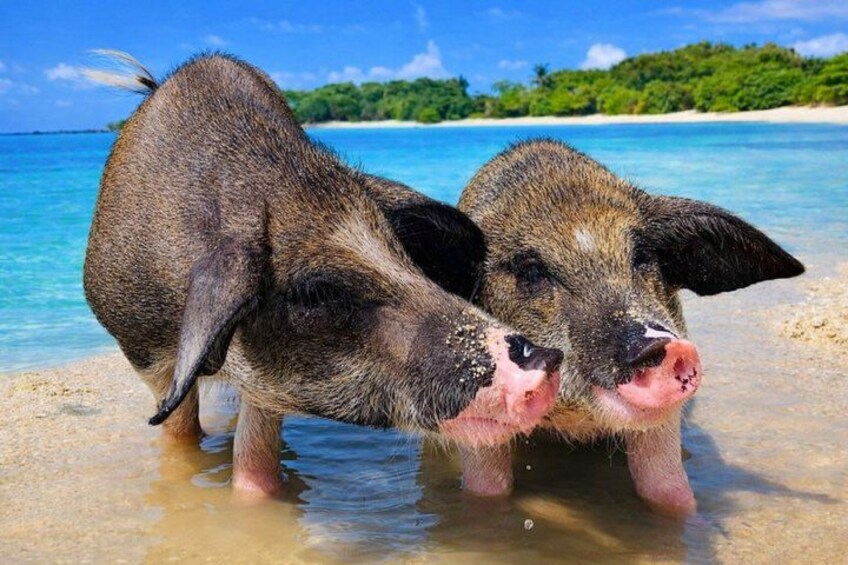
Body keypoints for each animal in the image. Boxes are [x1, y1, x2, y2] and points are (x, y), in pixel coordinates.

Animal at [82, 53, 563, 496]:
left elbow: (255, 461)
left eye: (401, 252)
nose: (545, 357)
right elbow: (180, 431)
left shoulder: (266, 387)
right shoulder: (145, 354)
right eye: (316, 293)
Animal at [363, 140, 804, 514]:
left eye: (642, 255)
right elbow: (487, 487)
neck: (573, 418)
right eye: (531, 270)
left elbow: (667, 489)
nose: (658, 344)